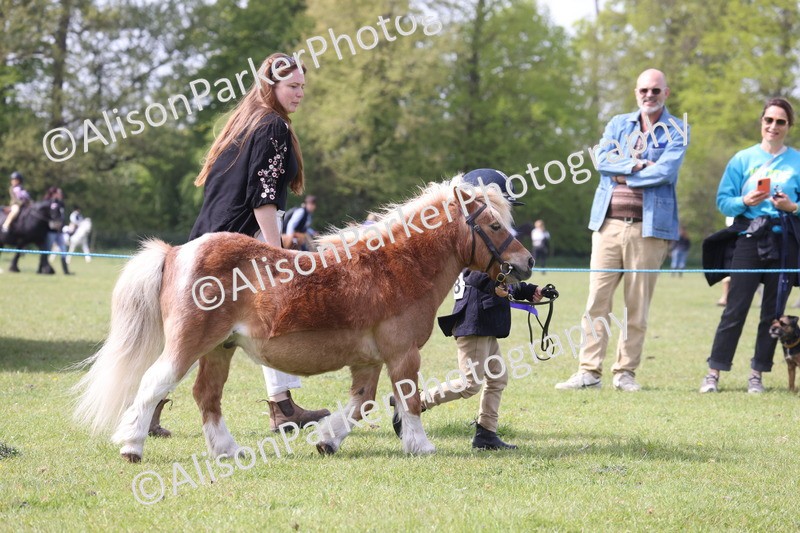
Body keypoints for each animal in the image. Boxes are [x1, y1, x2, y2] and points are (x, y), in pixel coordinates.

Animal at [72, 178, 534, 463]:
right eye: (494, 225)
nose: (527, 262)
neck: (394, 266)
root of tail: (175, 253)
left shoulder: (369, 359)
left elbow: (362, 402)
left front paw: (328, 440)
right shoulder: (403, 354)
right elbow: (410, 398)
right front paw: (420, 446)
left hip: (219, 350)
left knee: (207, 397)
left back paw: (227, 451)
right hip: (188, 346)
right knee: (154, 384)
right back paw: (132, 445)